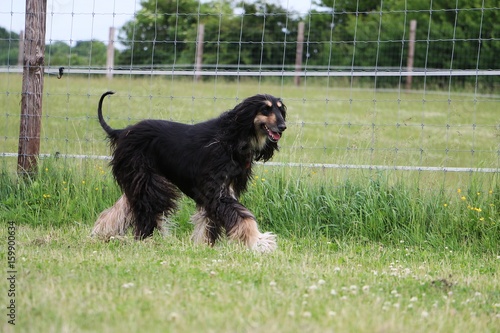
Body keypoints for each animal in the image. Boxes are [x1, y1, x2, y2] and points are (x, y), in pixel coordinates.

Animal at [90, 91, 286, 252]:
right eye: (265, 109)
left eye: (280, 109)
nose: (283, 126)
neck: (232, 139)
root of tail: (122, 131)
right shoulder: (214, 189)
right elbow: (242, 217)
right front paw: (260, 242)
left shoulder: (224, 188)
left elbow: (209, 221)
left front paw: (204, 245)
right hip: (146, 179)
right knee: (147, 210)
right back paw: (148, 240)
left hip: (141, 180)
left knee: (123, 207)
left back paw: (102, 232)